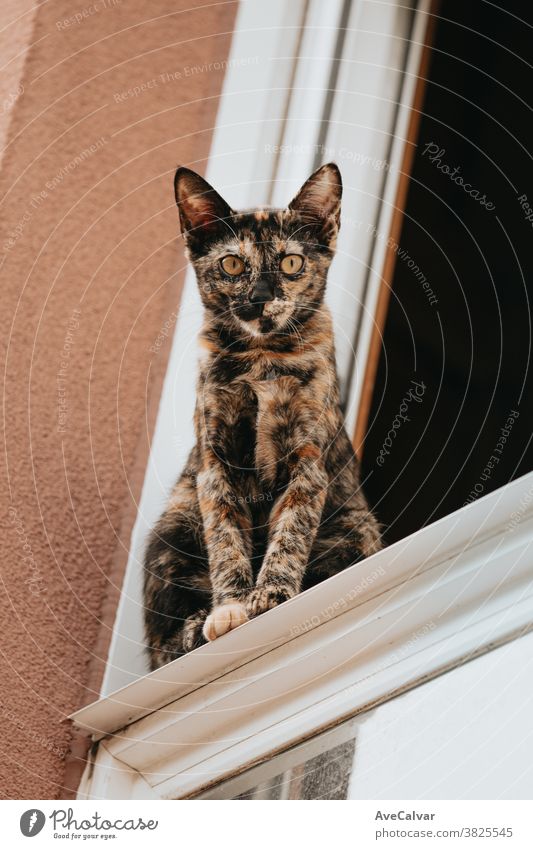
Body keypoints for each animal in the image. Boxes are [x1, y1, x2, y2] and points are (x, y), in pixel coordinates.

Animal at [143, 162, 380, 668]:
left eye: (291, 263)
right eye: (232, 264)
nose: (259, 297)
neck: (262, 359)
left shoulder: (307, 461)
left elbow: (289, 533)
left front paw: (271, 597)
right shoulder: (215, 465)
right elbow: (226, 538)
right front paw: (231, 609)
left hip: (357, 525)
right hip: (174, 523)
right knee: (160, 649)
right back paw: (193, 630)